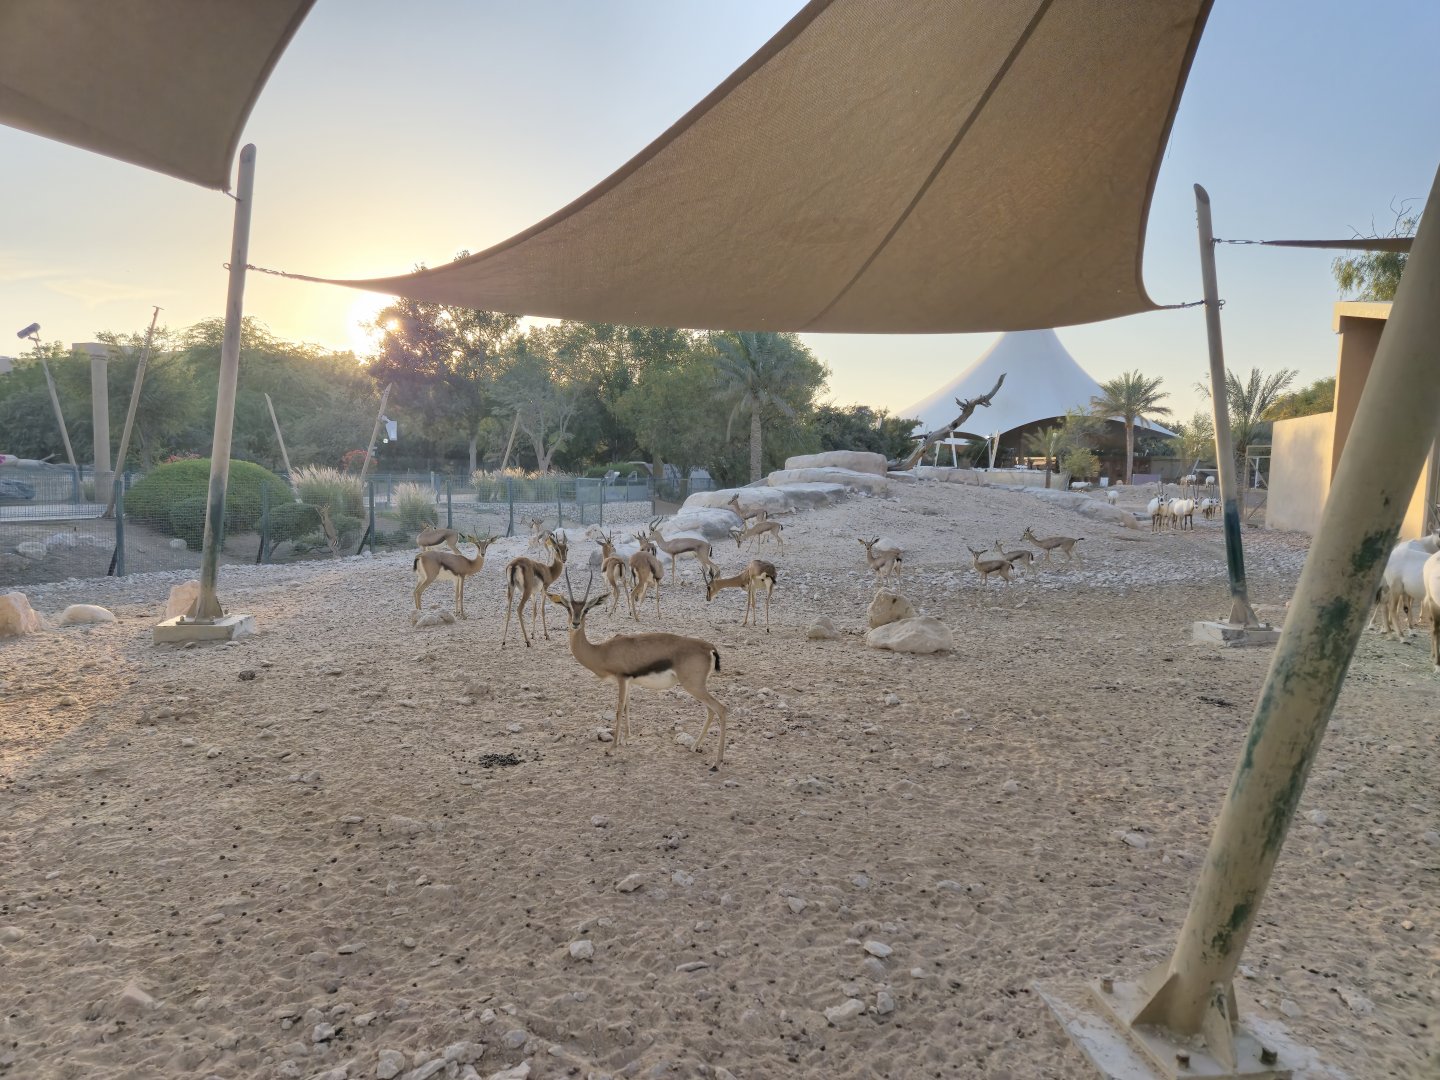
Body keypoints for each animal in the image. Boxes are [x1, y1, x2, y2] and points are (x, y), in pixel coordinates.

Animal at [547, 571, 729, 769]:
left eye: (586, 609)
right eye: (567, 607)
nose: (575, 623)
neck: (601, 651)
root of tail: (709, 647)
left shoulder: (621, 679)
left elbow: (619, 709)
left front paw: (611, 748)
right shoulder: (629, 681)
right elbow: (627, 706)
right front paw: (626, 740)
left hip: (694, 686)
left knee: (721, 709)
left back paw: (717, 762)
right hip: (697, 687)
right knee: (711, 711)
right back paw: (695, 746)